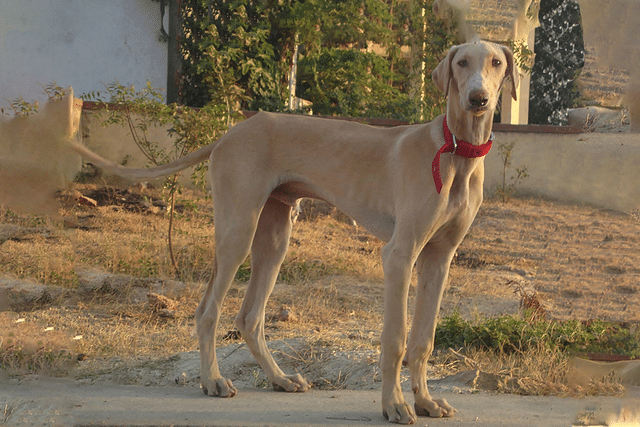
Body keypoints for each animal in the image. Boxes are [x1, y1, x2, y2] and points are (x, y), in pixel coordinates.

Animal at [71, 39, 520, 424]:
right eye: (462, 63)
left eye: (496, 62)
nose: (478, 99)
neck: (455, 150)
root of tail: (230, 133)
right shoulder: (400, 254)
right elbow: (395, 338)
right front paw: (394, 406)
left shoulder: (439, 259)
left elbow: (423, 339)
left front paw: (426, 402)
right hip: (237, 230)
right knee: (208, 310)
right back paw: (213, 380)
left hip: (275, 237)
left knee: (250, 317)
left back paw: (280, 378)